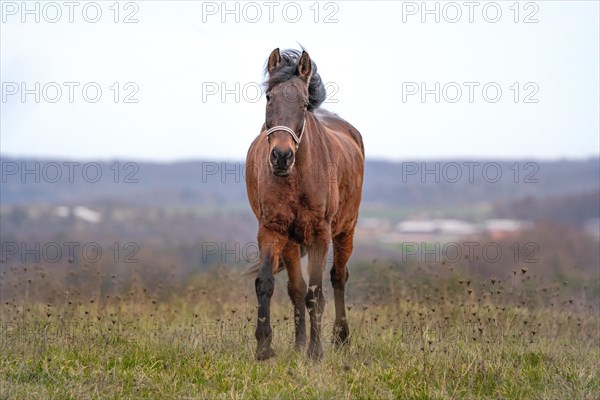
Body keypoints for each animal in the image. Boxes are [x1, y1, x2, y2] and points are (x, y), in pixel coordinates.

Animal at [245, 47, 366, 360]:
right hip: (291, 242)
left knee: (338, 278)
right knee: (296, 288)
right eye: (269, 97)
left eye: (302, 103)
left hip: (346, 231)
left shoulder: (320, 234)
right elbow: (267, 284)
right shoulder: (272, 230)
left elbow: (317, 293)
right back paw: (299, 344)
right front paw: (264, 347)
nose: (281, 156)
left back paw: (340, 338)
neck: (296, 178)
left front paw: (316, 351)